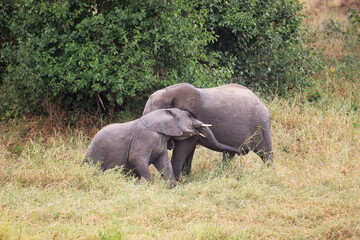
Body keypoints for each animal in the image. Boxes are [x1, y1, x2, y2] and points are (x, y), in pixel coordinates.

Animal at [84, 109, 240, 186]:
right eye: (189, 116)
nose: (239, 152)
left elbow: (164, 163)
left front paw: (173, 186)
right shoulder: (145, 137)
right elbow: (136, 157)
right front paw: (146, 185)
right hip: (95, 156)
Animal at [143, 83, 272, 179]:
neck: (168, 92)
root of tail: (262, 103)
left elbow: (183, 148)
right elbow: (189, 150)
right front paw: (186, 177)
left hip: (261, 125)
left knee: (266, 154)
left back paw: (269, 173)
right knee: (228, 154)